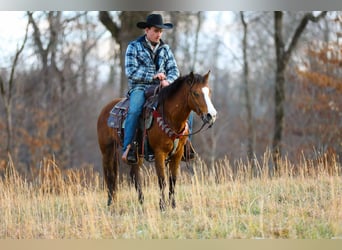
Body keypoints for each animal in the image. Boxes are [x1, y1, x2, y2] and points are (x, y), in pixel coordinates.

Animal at [96, 71, 218, 211]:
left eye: (209, 92)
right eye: (195, 93)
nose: (211, 115)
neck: (170, 117)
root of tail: (106, 109)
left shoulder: (177, 154)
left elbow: (172, 180)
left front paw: (173, 205)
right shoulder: (160, 153)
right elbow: (162, 180)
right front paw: (162, 206)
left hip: (137, 154)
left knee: (134, 175)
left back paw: (141, 202)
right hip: (107, 151)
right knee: (110, 175)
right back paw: (110, 203)